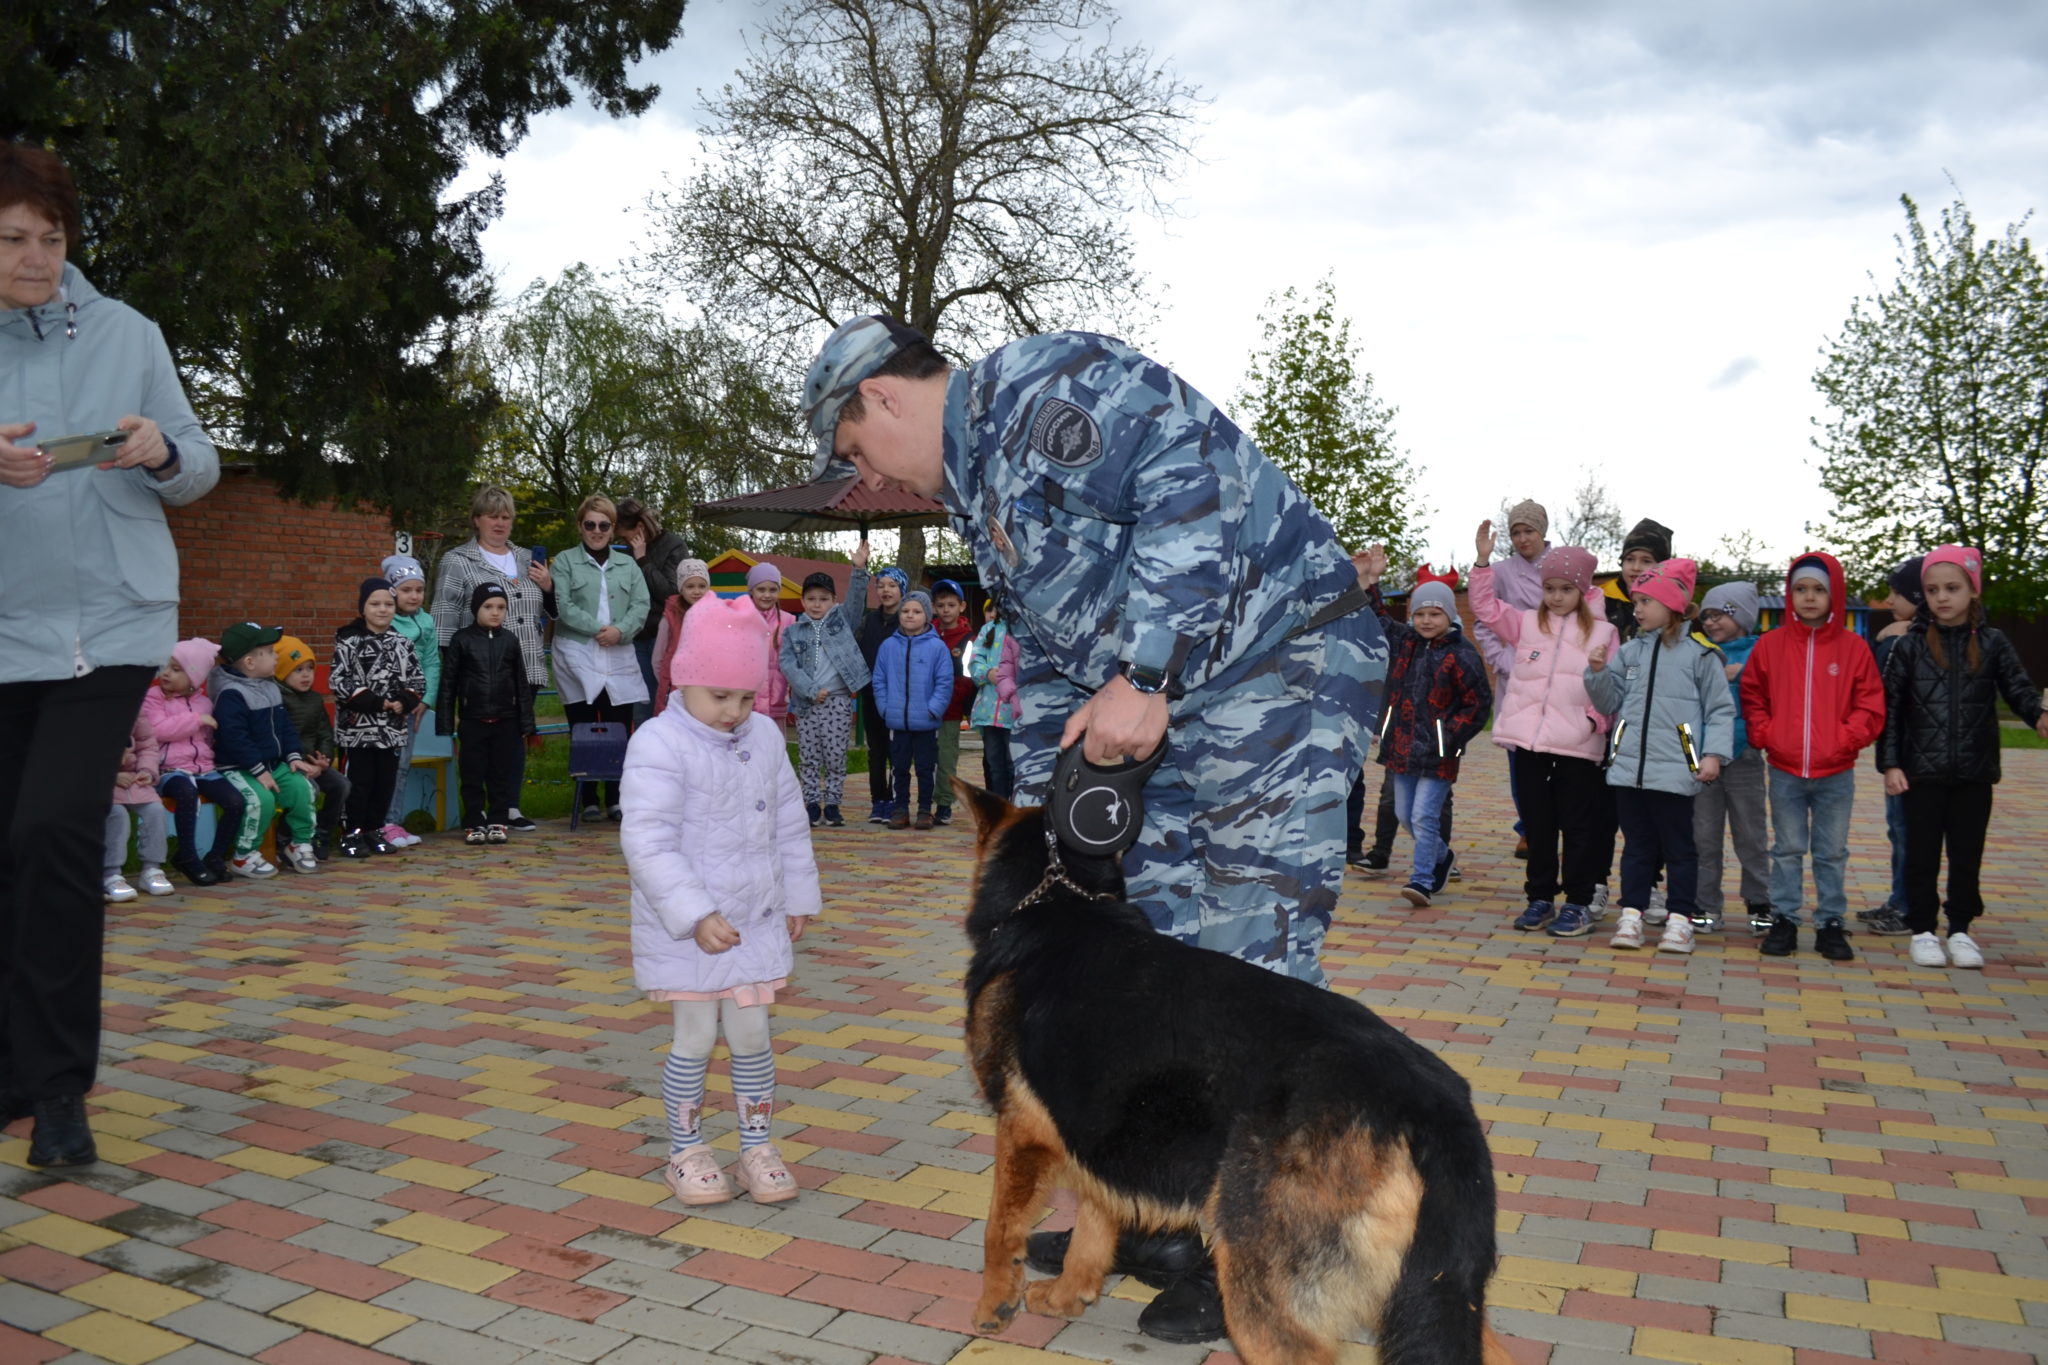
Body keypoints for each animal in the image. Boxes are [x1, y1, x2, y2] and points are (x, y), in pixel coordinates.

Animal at [950, 777, 1515, 1365]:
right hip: (1437, 1296)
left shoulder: (1021, 1131)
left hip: (1259, 1280)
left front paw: (993, 1307)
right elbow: (1093, 1224)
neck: (1059, 902)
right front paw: (1068, 1294)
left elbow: (999, 1229)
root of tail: (1433, 1104)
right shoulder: (1098, 1140)